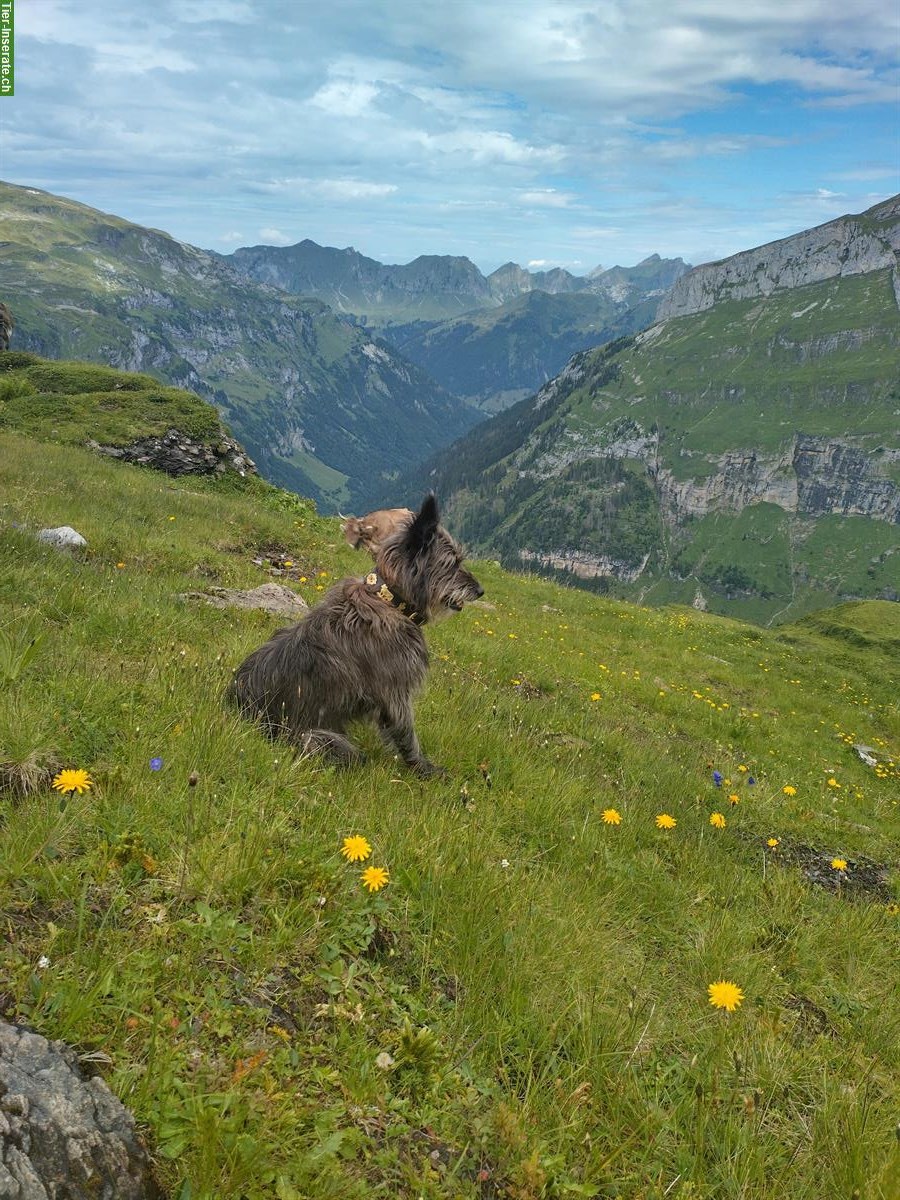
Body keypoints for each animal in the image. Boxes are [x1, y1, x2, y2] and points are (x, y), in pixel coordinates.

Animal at [232, 496, 487, 777]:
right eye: (452, 563)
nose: (480, 590)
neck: (388, 600)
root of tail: (240, 708)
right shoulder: (395, 693)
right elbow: (407, 735)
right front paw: (425, 769)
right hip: (317, 738)